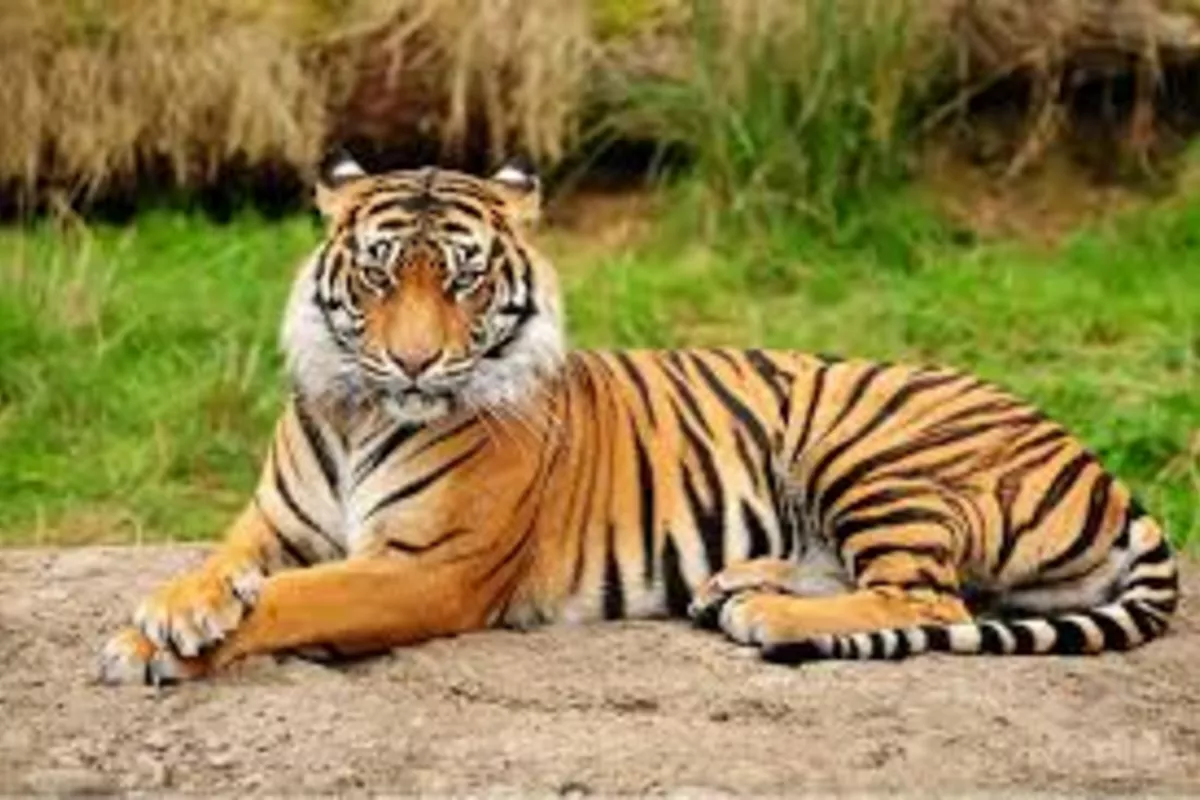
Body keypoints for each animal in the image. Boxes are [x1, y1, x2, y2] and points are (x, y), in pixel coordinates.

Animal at [99, 153, 1179, 684]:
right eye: (378, 275)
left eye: (462, 279)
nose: (413, 360)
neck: (364, 410)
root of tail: (1100, 463)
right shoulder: (272, 523)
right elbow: (223, 566)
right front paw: (172, 613)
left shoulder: (427, 569)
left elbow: (294, 600)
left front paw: (157, 645)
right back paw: (736, 584)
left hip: (868, 446)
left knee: (930, 599)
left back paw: (766, 612)